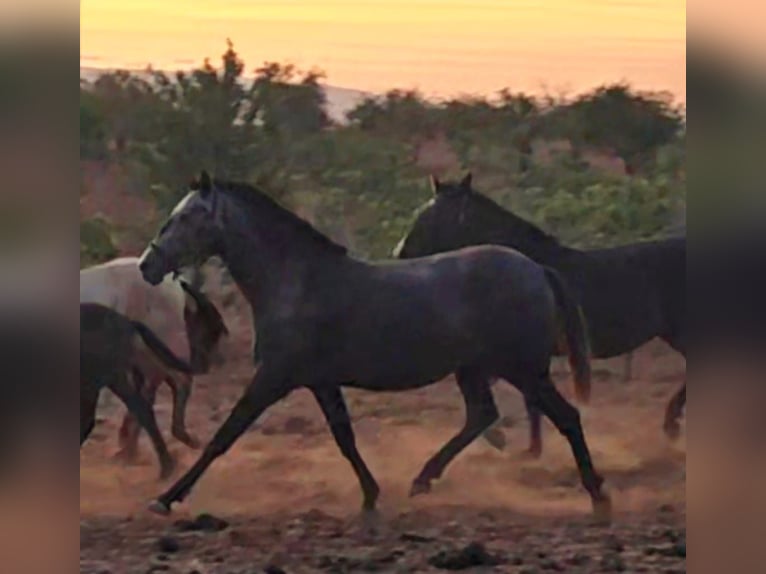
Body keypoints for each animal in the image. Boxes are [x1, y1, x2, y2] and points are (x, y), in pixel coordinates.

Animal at [136, 170, 610, 521]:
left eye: (189, 216)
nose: (147, 265)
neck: (295, 281)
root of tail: (537, 269)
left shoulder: (274, 378)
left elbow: (224, 435)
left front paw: (166, 498)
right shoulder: (320, 381)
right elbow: (344, 437)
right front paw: (370, 495)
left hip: (522, 369)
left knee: (565, 417)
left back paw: (598, 497)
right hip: (476, 369)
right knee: (483, 415)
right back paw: (422, 480)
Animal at [394, 173, 686, 453]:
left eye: (432, 216)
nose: (401, 253)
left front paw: (504, 439)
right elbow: (527, 402)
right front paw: (531, 448)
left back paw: (672, 425)